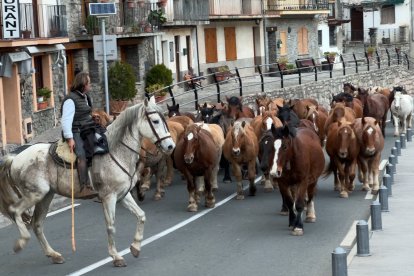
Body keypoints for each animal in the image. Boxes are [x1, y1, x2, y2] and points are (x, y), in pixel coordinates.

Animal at [0, 97, 175, 268]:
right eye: (155, 121)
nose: (170, 146)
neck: (115, 151)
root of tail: (15, 158)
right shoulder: (109, 197)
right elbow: (111, 226)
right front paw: (116, 256)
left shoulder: (123, 195)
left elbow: (141, 216)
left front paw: (135, 247)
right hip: (35, 194)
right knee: (15, 210)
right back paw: (21, 242)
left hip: (46, 196)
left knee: (37, 224)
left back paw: (53, 254)